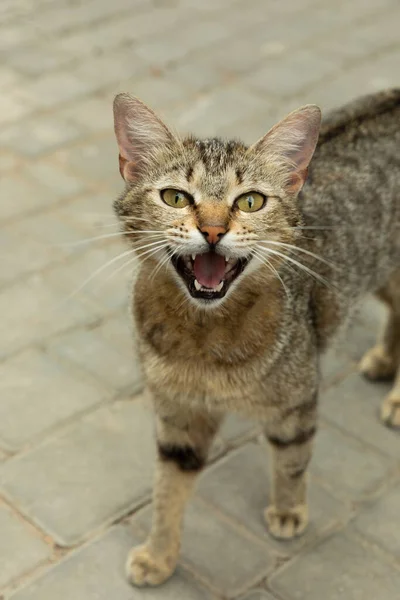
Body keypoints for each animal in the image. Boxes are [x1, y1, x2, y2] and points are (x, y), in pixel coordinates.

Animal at [111, 89, 400, 584]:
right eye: (175, 197)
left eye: (250, 202)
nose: (212, 230)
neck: (203, 339)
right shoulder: (178, 416)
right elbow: (167, 490)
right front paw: (160, 555)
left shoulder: (298, 401)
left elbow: (291, 461)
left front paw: (288, 510)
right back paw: (385, 359)